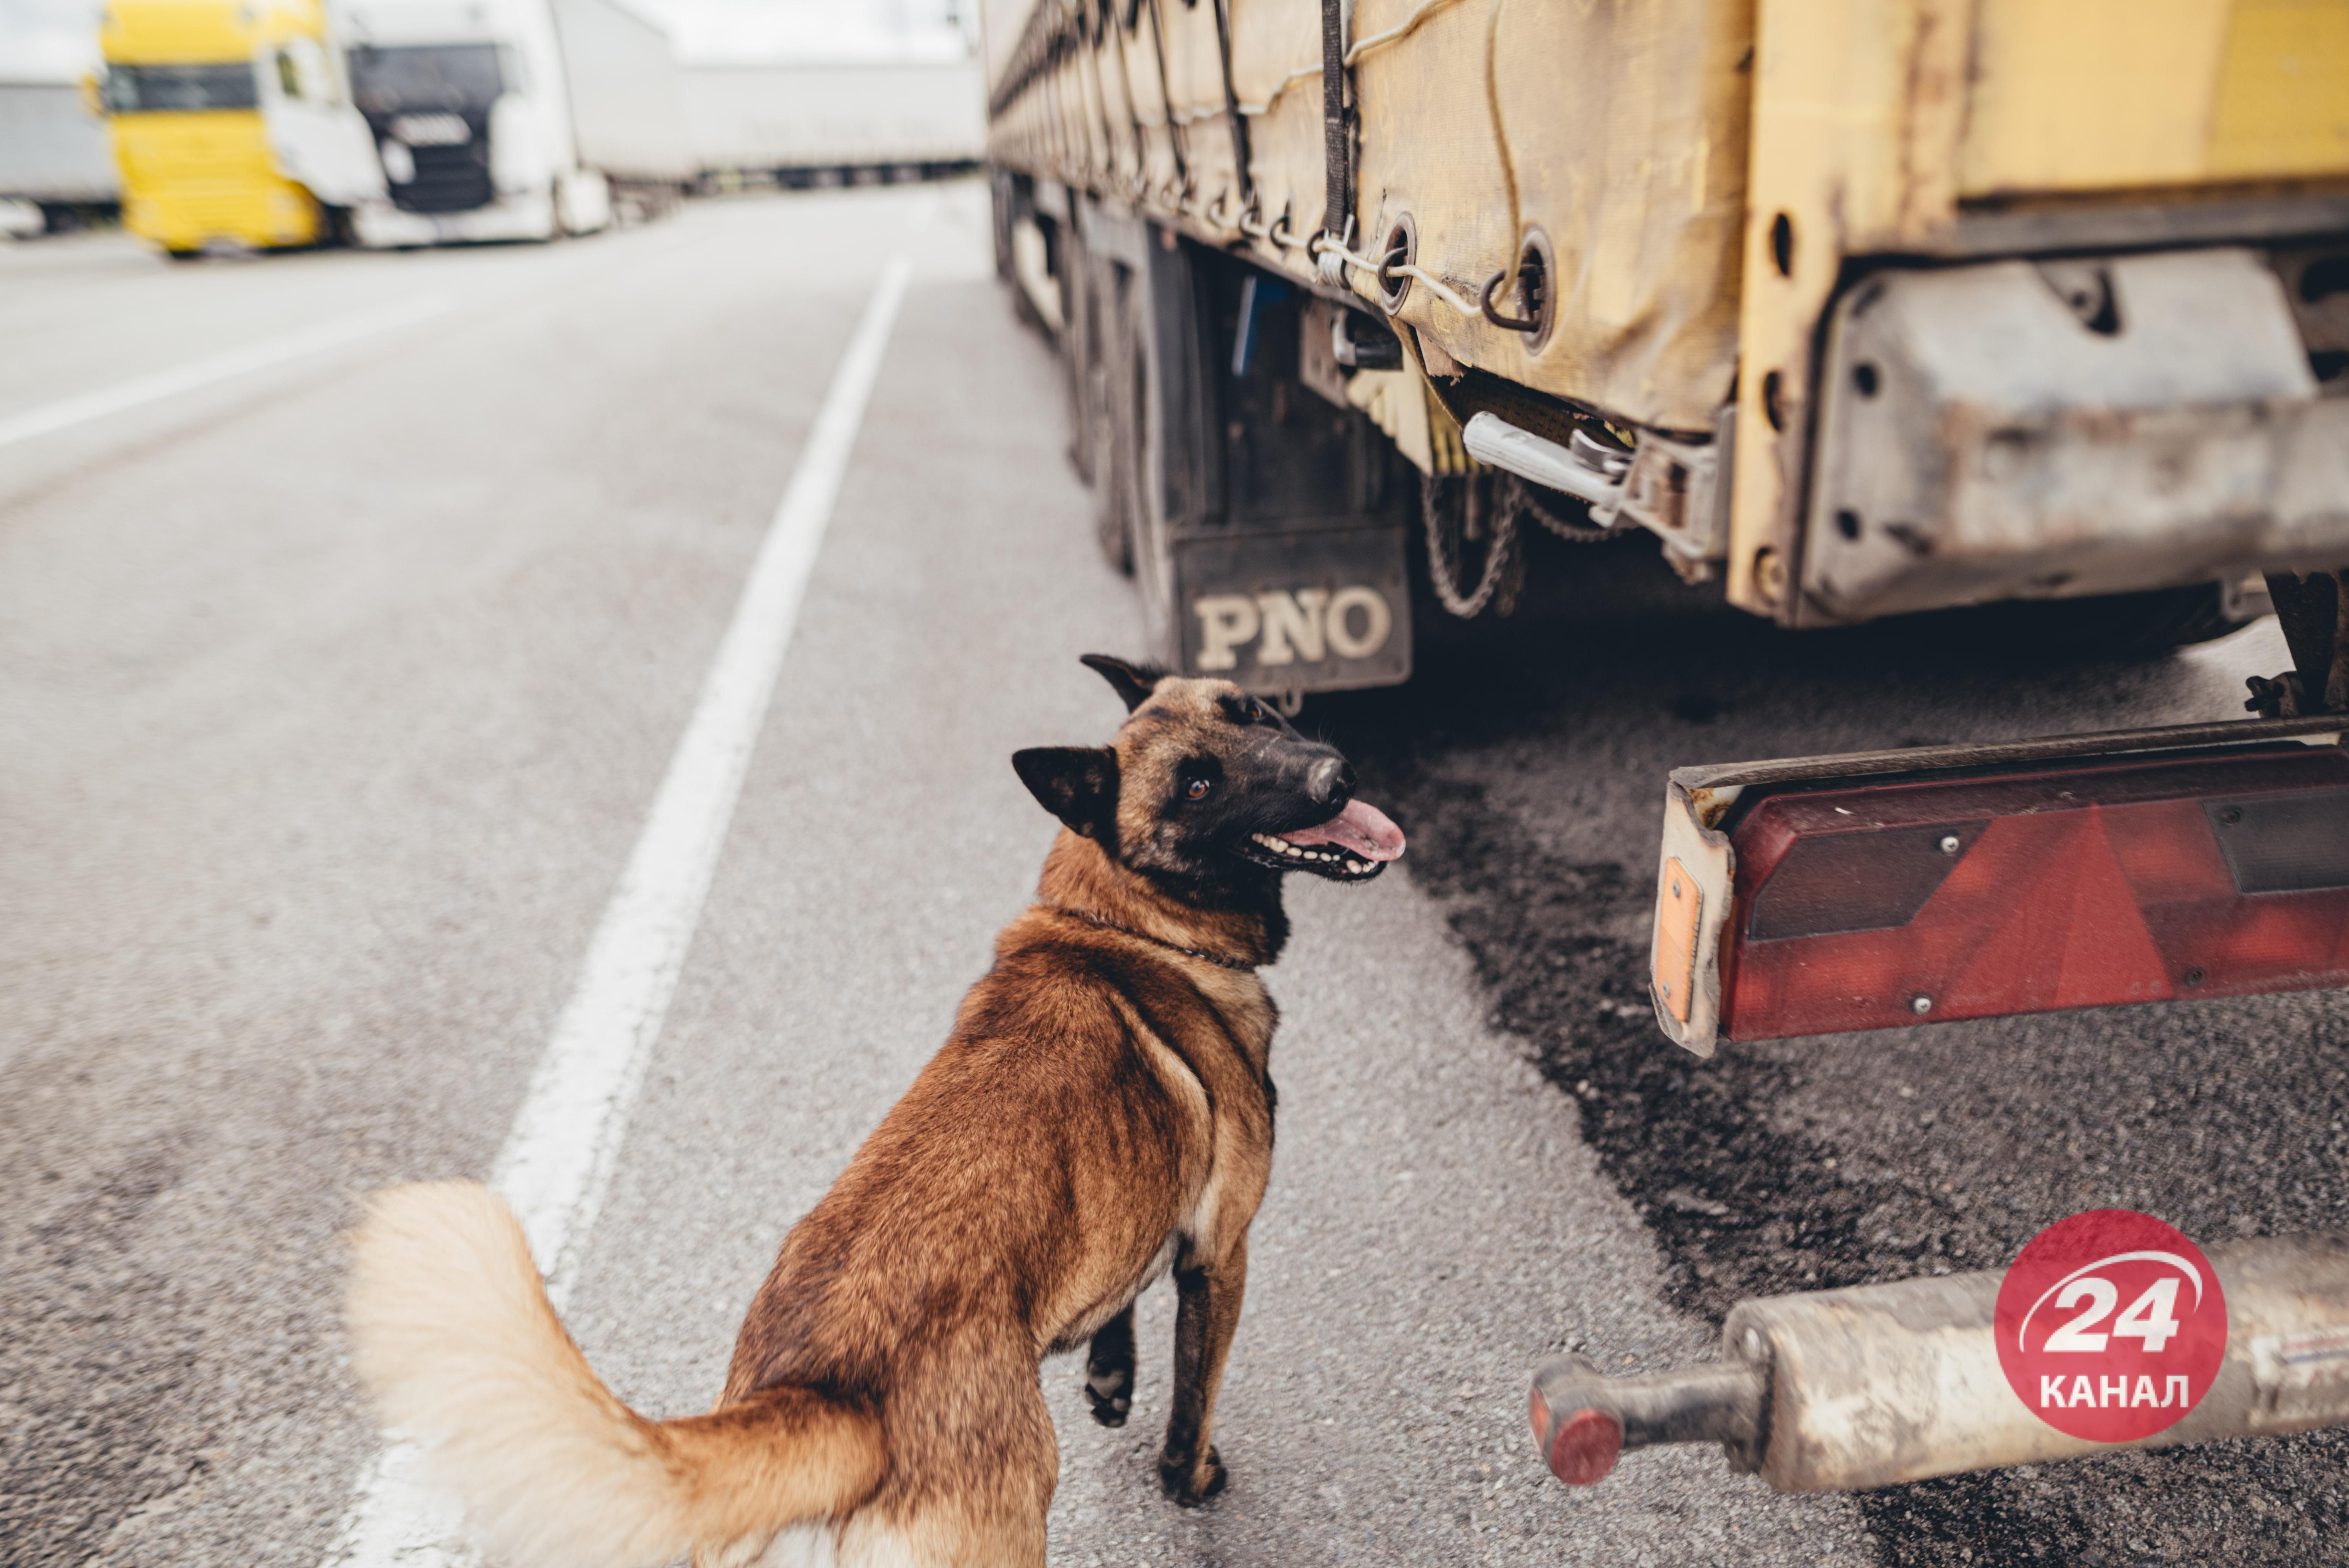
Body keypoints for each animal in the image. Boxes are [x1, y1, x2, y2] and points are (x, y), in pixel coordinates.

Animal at [343, 657, 1400, 1568]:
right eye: (1196, 785)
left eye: (1250, 712)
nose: (1335, 772)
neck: (1119, 917)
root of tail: (826, 1388)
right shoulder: (1221, 1254)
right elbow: (1193, 1401)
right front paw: (1192, 1475)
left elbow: (1118, 1294)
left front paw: (1109, 1370)